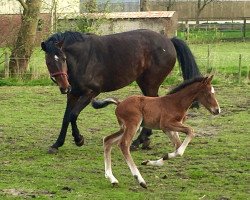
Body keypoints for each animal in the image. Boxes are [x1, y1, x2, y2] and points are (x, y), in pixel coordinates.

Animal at [41, 28, 201, 153]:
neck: (82, 59)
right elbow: (66, 118)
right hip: (144, 83)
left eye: (63, 58)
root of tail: (168, 40)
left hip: (150, 83)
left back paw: (138, 141)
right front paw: (57, 144)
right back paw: (143, 140)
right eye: (48, 62)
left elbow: (73, 115)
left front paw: (79, 139)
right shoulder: (73, 94)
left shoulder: (91, 92)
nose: (64, 87)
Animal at [92, 76, 221, 188]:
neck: (176, 102)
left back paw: (112, 178)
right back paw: (140, 180)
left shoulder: (168, 129)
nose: (217, 110)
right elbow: (190, 132)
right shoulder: (167, 124)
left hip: (125, 128)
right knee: (123, 144)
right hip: (133, 125)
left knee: (107, 140)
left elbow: (178, 146)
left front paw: (151, 161)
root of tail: (119, 103)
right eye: (209, 93)